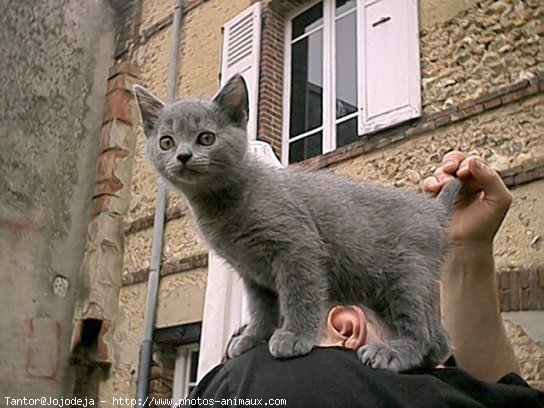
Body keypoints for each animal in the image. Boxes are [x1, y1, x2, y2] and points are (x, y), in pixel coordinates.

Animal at [134, 75, 462, 372]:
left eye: (206, 138)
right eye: (166, 142)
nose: (183, 155)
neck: (224, 203)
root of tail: (434, 208)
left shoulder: (298, 248)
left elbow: (300, 295)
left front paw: (293, 336)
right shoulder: (252, 273)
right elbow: (261, 309)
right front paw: (253, 337)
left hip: (407, 275)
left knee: (420, 329)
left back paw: (393, 352)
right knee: (440, 339)